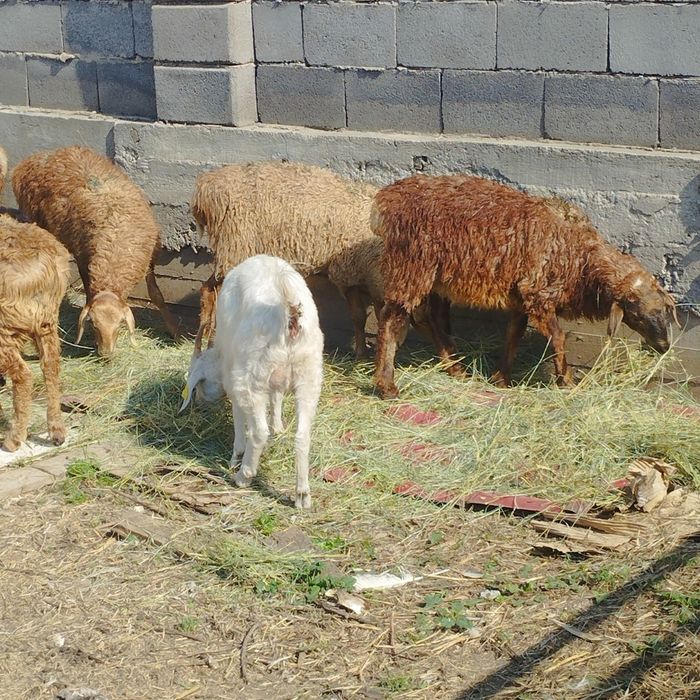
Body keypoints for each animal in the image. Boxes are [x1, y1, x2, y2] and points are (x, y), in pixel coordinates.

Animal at [12, 146, 179, 358]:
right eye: (93, 325)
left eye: (120, 325)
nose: (105, 353)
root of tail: (39, 157)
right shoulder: (84, 258)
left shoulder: (149, 258)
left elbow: (156, 294)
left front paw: (176, 333)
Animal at [180, 254, 324, 509]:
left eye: (198, 386)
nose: (198, 402)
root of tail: (289, 316)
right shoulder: (275, 381)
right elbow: (276, 399)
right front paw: (278, 427)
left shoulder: (235, 381)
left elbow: (240, 418)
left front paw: (235, 457)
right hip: (309, 376)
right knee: (302, 435)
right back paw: (302, 495)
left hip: (252, 377)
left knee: (258, 432)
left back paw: (243, 475)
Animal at [191, 161, 391, 358]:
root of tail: (206, 189)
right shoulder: (347, 271)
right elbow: (359, 316)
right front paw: (361, 353)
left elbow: (369, 314)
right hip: (237, 247)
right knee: (216, 292)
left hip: (231, 251)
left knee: (207, 289)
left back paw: (204, 341)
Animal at [371, 174, 678, 398]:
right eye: (636, 315)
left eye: (664, 311)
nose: (663, 346)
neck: (578, 257)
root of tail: (386, 199)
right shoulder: (538, 294)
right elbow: (558, 337)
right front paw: (566, 379)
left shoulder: (520, 298)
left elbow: (513, 335)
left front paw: (502, 377)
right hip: (412, 267)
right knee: (391, 320)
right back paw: (387, 386)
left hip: (435, 278)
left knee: (432, 318)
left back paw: (456, 368)